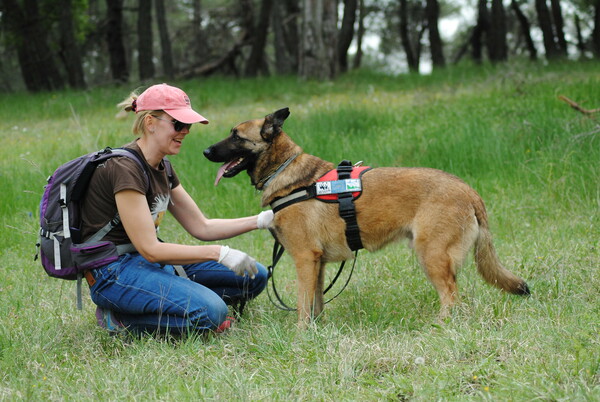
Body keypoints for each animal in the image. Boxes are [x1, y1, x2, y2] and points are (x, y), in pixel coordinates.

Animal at [205, 108, 528, 328]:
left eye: (236, 135)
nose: (205, 150)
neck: (286, 173)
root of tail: (469, 190)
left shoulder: (304, 260)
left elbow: (302, 307)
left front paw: (300, 336)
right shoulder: (317, 264)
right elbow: (316, 305)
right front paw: (317, 332)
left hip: (432, 256)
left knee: (451, 295)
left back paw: (440, 325)